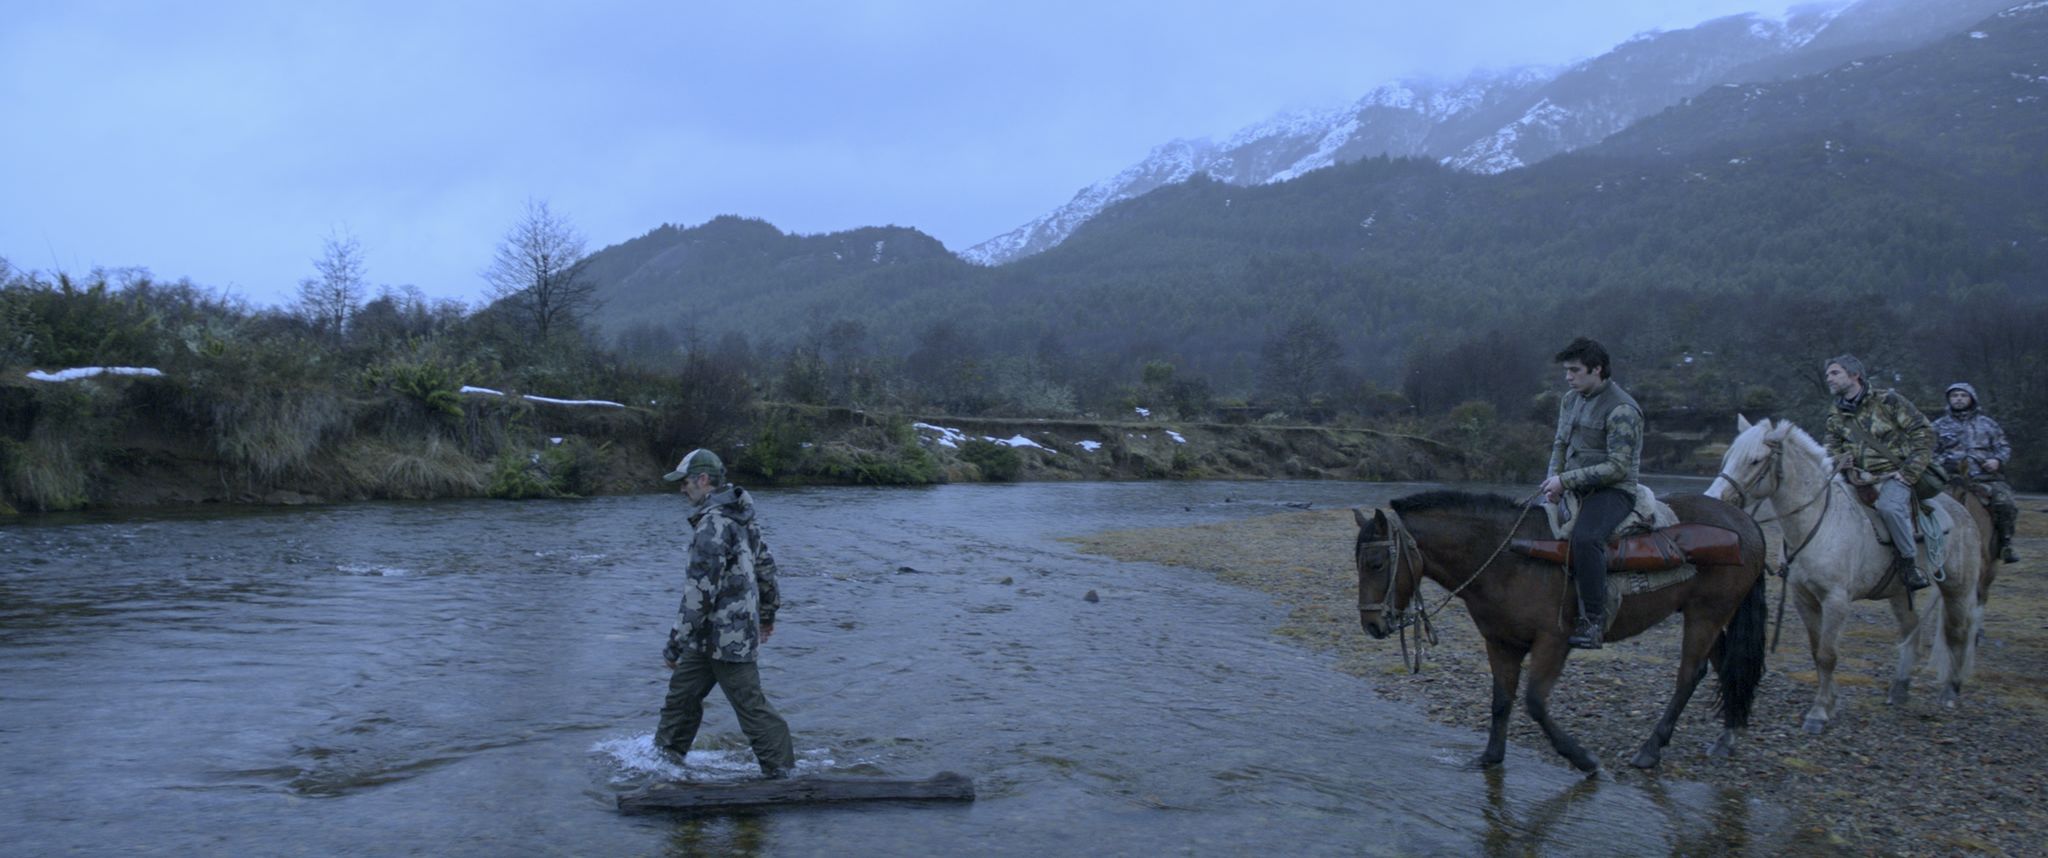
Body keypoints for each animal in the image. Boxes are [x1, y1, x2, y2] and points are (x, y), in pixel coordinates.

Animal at [1351, 491, 1769, 774]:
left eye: (1376, 562)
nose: (1372, 625)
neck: (1507, 560)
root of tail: (1746, 524)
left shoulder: (1552, 643)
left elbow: (1534, 702)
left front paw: (1582, 758)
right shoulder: (1500, 643)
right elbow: (1501, 701)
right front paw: (1491, 757)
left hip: (1706, 613)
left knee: (1688, 675)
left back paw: (1651, 749)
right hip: (1709, 615)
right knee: (1724, 667)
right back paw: (1727, 734)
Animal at [1712, 419, 1982, 737]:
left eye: (1754, 460)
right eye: (1727, 457)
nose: (1714, 500)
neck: (1820, 521)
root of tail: (1963, 513)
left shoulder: (1836, 600)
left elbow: (1828, 654)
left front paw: (1818, 713)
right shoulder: (1804, 598)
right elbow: (1816, 651)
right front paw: (1830, 702)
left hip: (1957, 588)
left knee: (1958, 632)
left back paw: (1950, 692)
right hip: (1900, 593)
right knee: (1910, 629)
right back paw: (1899, 689)